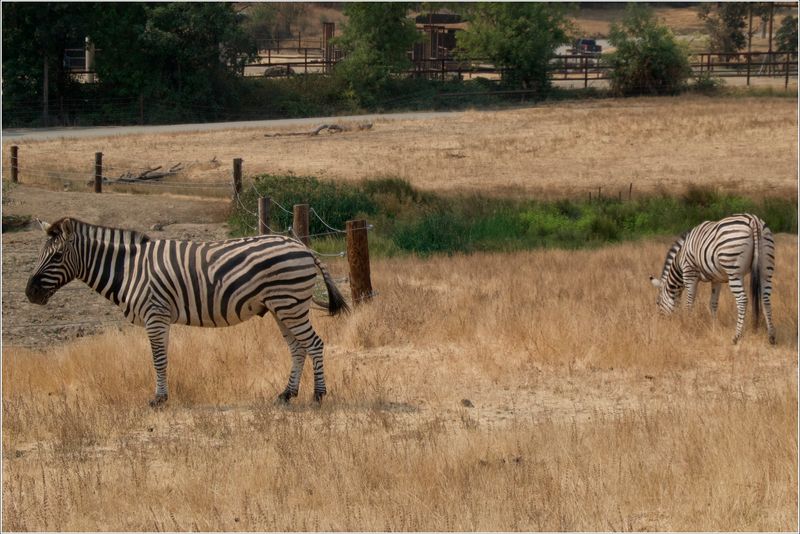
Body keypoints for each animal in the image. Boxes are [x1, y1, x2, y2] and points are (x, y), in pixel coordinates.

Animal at [26, 218, 350, 406]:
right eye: (40, 254)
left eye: (56, 256)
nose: (29, 293)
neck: (129, 269)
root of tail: (302, 247)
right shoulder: (160, 317)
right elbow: (162, 358)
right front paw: (163, 395)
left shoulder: (155, 314)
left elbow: (158, 359)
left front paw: (159, 399)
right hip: (281, 307)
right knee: (298, 348)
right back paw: (286, 394)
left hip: (290, 303)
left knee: (314, 344)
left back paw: (318, 395)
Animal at [648, 215, 776, 346]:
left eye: (657, 302)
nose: (662, 324)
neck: (679, 260)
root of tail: (753, 220)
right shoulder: (716, 279)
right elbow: (713, 303)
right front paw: (713, 326)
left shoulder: (689, 274)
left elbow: (689, 302)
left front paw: (688, 324)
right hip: (766, 268)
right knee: (765, 299)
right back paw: (771, 336)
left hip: (734, 270)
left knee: (742, 299)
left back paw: (736, 337)